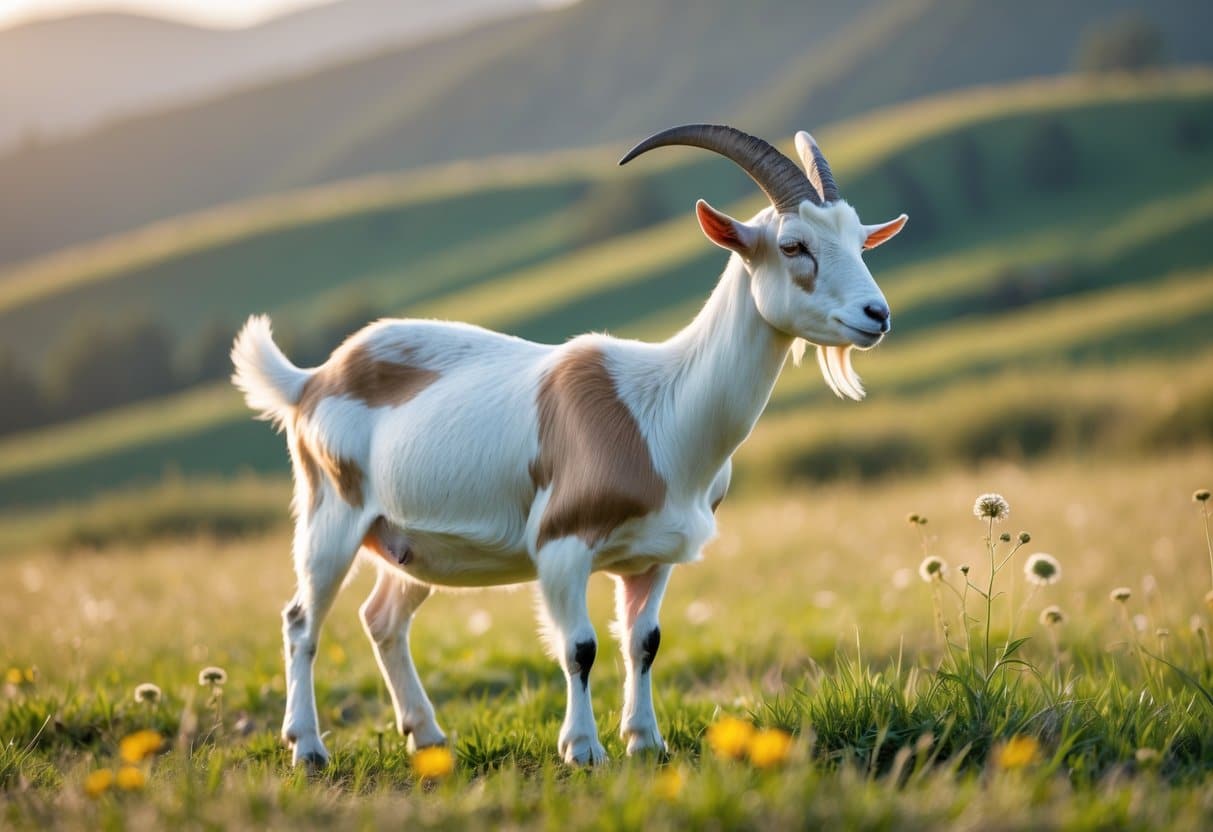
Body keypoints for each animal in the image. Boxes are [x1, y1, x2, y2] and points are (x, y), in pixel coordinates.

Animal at [231, 124, 907, 767]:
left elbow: (644, 643)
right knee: (301, 621)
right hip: (330, 514)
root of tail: (313, 379)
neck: (660, 408)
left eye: (859, 241)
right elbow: (578, 647)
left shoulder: (654, 557)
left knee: (383, 619)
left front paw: (645, 742)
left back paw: (427, 738)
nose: (877, 315)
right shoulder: (560, 546)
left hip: (412, 542)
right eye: (794, 245)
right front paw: (582, 749)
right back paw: (308, 748)